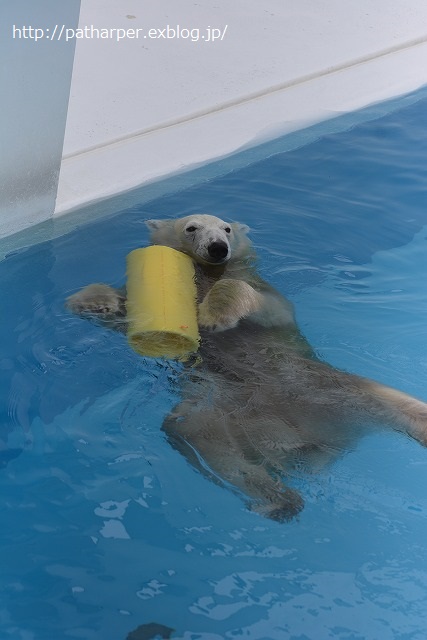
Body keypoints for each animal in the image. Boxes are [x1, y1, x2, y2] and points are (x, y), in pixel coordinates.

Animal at [67, 215, 427, 520]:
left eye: (226, 228)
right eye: (192, 227)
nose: (218, 247)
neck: (206, 276)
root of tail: (298, 443)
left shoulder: (266, 297)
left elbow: (258, 303)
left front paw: (213, 316)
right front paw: (92, 301)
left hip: (329, 387)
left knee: (395, 403)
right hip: (220, 411)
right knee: (203, 440)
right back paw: (279, 500)